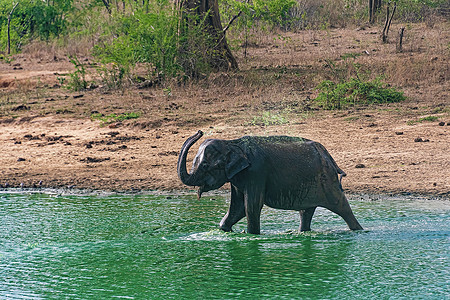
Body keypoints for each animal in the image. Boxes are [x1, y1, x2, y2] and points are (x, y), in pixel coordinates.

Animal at [176, 129, 362, 234]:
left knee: (341, 206)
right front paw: (226, 230)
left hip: (327, 180)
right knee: (306, 211)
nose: (200, 132)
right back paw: (303, 233)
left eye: (205, 165)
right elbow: (238, 207)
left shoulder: (256, 173)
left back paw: (358, 231)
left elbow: (251, 207)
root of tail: (329, 156)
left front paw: (252, 235)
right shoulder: (237, 178)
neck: (232, 143)